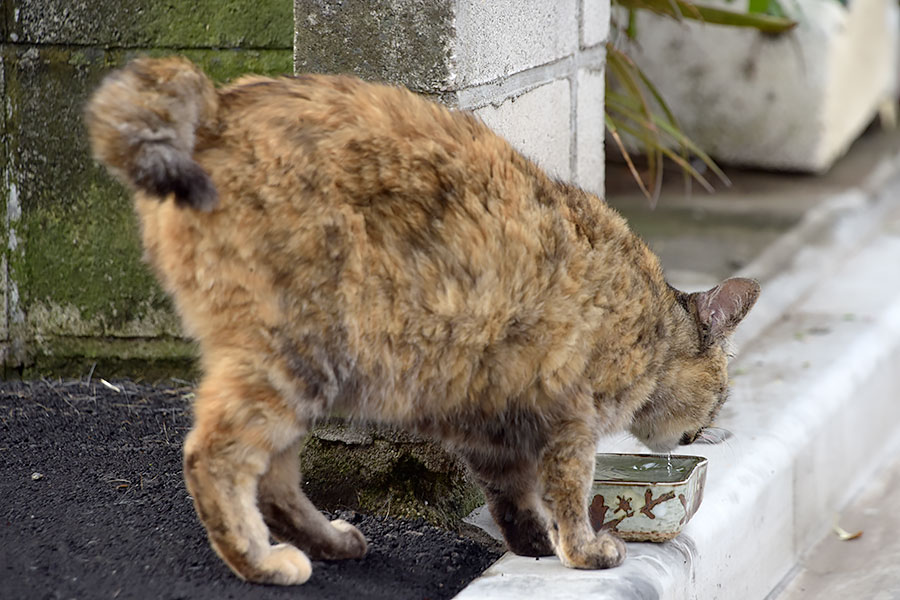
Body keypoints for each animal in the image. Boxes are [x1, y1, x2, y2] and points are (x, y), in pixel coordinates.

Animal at [84, 57, 760, 584]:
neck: (652, 321)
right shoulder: (569, 413)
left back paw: (331, 542)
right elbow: (568, 488)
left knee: (274, 479)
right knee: (214, 457)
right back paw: (263, 563)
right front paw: (583, 549)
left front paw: (533, 544)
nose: (707, 433)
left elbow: (513, 493)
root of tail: (217, 105)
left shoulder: (490, 414)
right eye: (723, 394)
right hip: (297, 356)